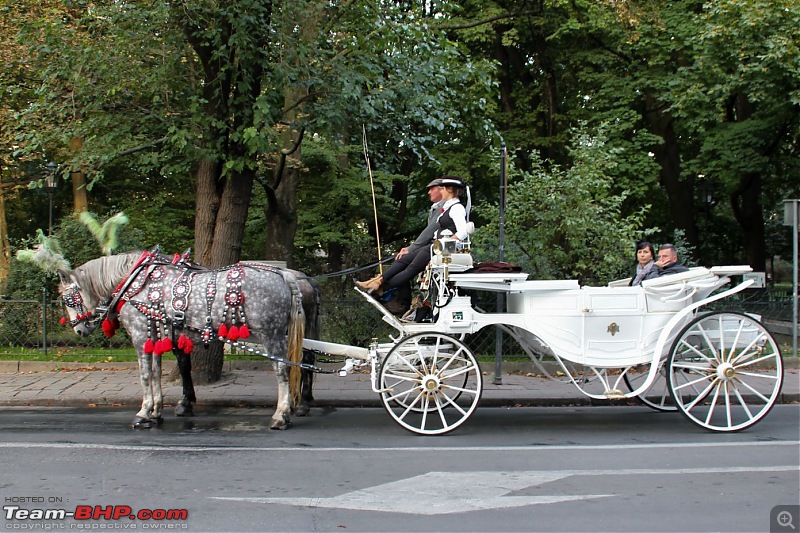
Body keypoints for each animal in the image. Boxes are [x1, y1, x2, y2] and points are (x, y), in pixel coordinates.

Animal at [56, 249, 318, 428]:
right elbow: (156, 372)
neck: (136, 285)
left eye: (68, 299)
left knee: (284, 370)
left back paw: (282, 415)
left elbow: (146, 375)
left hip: (272, 335)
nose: (79, 330)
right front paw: (156, 411)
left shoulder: (140, 336)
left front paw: (143, 413)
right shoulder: (155, 335)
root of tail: (286, 275)